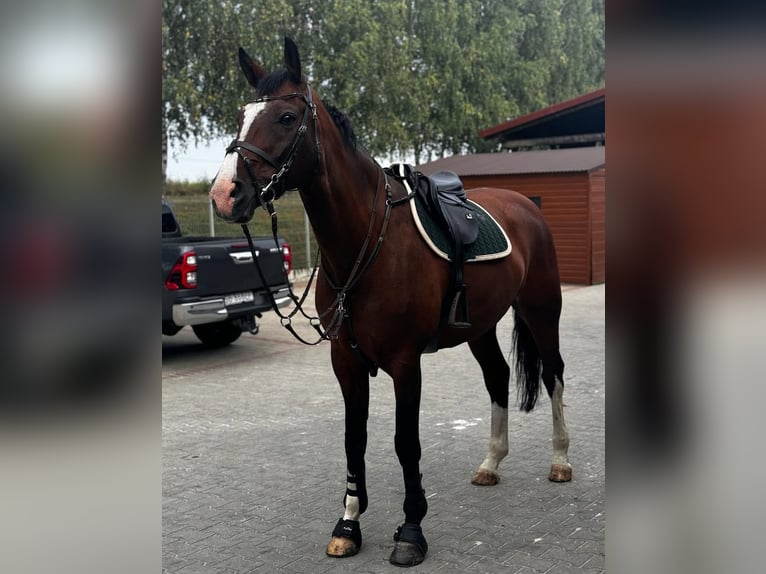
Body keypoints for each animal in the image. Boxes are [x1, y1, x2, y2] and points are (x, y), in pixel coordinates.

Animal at [209, 37, 571, 567]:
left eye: (286, 118)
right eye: (240, 115)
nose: (224, 194)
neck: (366, 241)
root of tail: (526, 205)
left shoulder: (405, 362)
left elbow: (405, 443)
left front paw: (411, 530)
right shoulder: (346, 361)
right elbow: (353, 438)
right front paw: (348, 524)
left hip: (541, 311)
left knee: (553, 374)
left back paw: (561, 460)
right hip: (480, 327)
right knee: (498, 376)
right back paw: (490, 463)